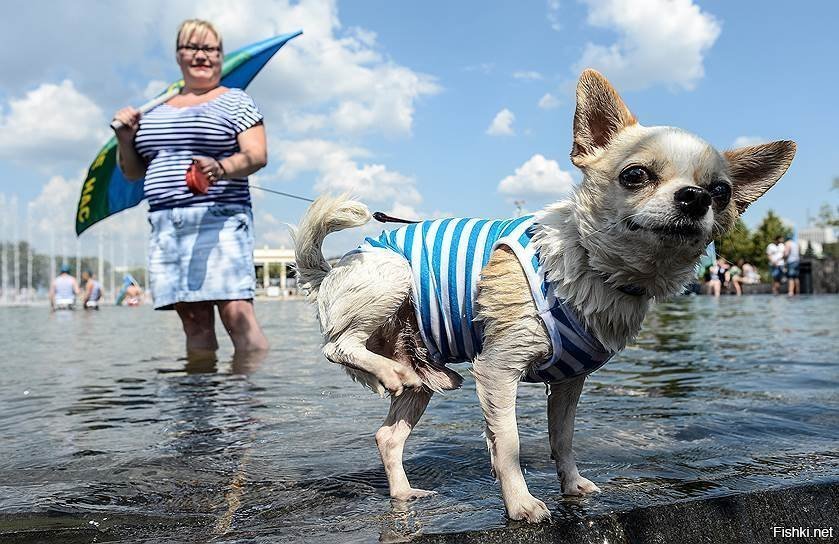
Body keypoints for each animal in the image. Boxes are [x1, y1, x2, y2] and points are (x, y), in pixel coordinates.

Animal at [292, 69, 796, 524]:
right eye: (635, 175)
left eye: (722, 192)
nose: (695, 197)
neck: (596, 267)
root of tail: (329, 268)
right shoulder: (498, 369)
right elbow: (509, 444)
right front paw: (521, 504)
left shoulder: (570, 381)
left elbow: (563, 438)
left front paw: (571, 486)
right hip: (391, 276)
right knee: (337, 345)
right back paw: (385, 373)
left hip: (424, 374)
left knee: (388, 436)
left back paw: (403, 492)